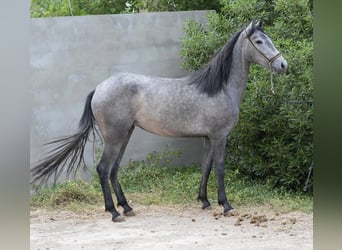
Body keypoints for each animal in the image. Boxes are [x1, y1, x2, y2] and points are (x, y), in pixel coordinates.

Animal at [32, 20, 288, 222]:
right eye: (259, 41)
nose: (283, 65)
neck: (219, 89)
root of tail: (99, 88)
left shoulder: (208, 137)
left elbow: (205, 167)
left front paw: (204, 201)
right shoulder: (219, 137)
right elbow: (220, 168)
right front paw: (225, 205)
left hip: (125, 135)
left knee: (114, 170)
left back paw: (127, 207)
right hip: (114, 138)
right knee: (104, 169)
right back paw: (114, 212)